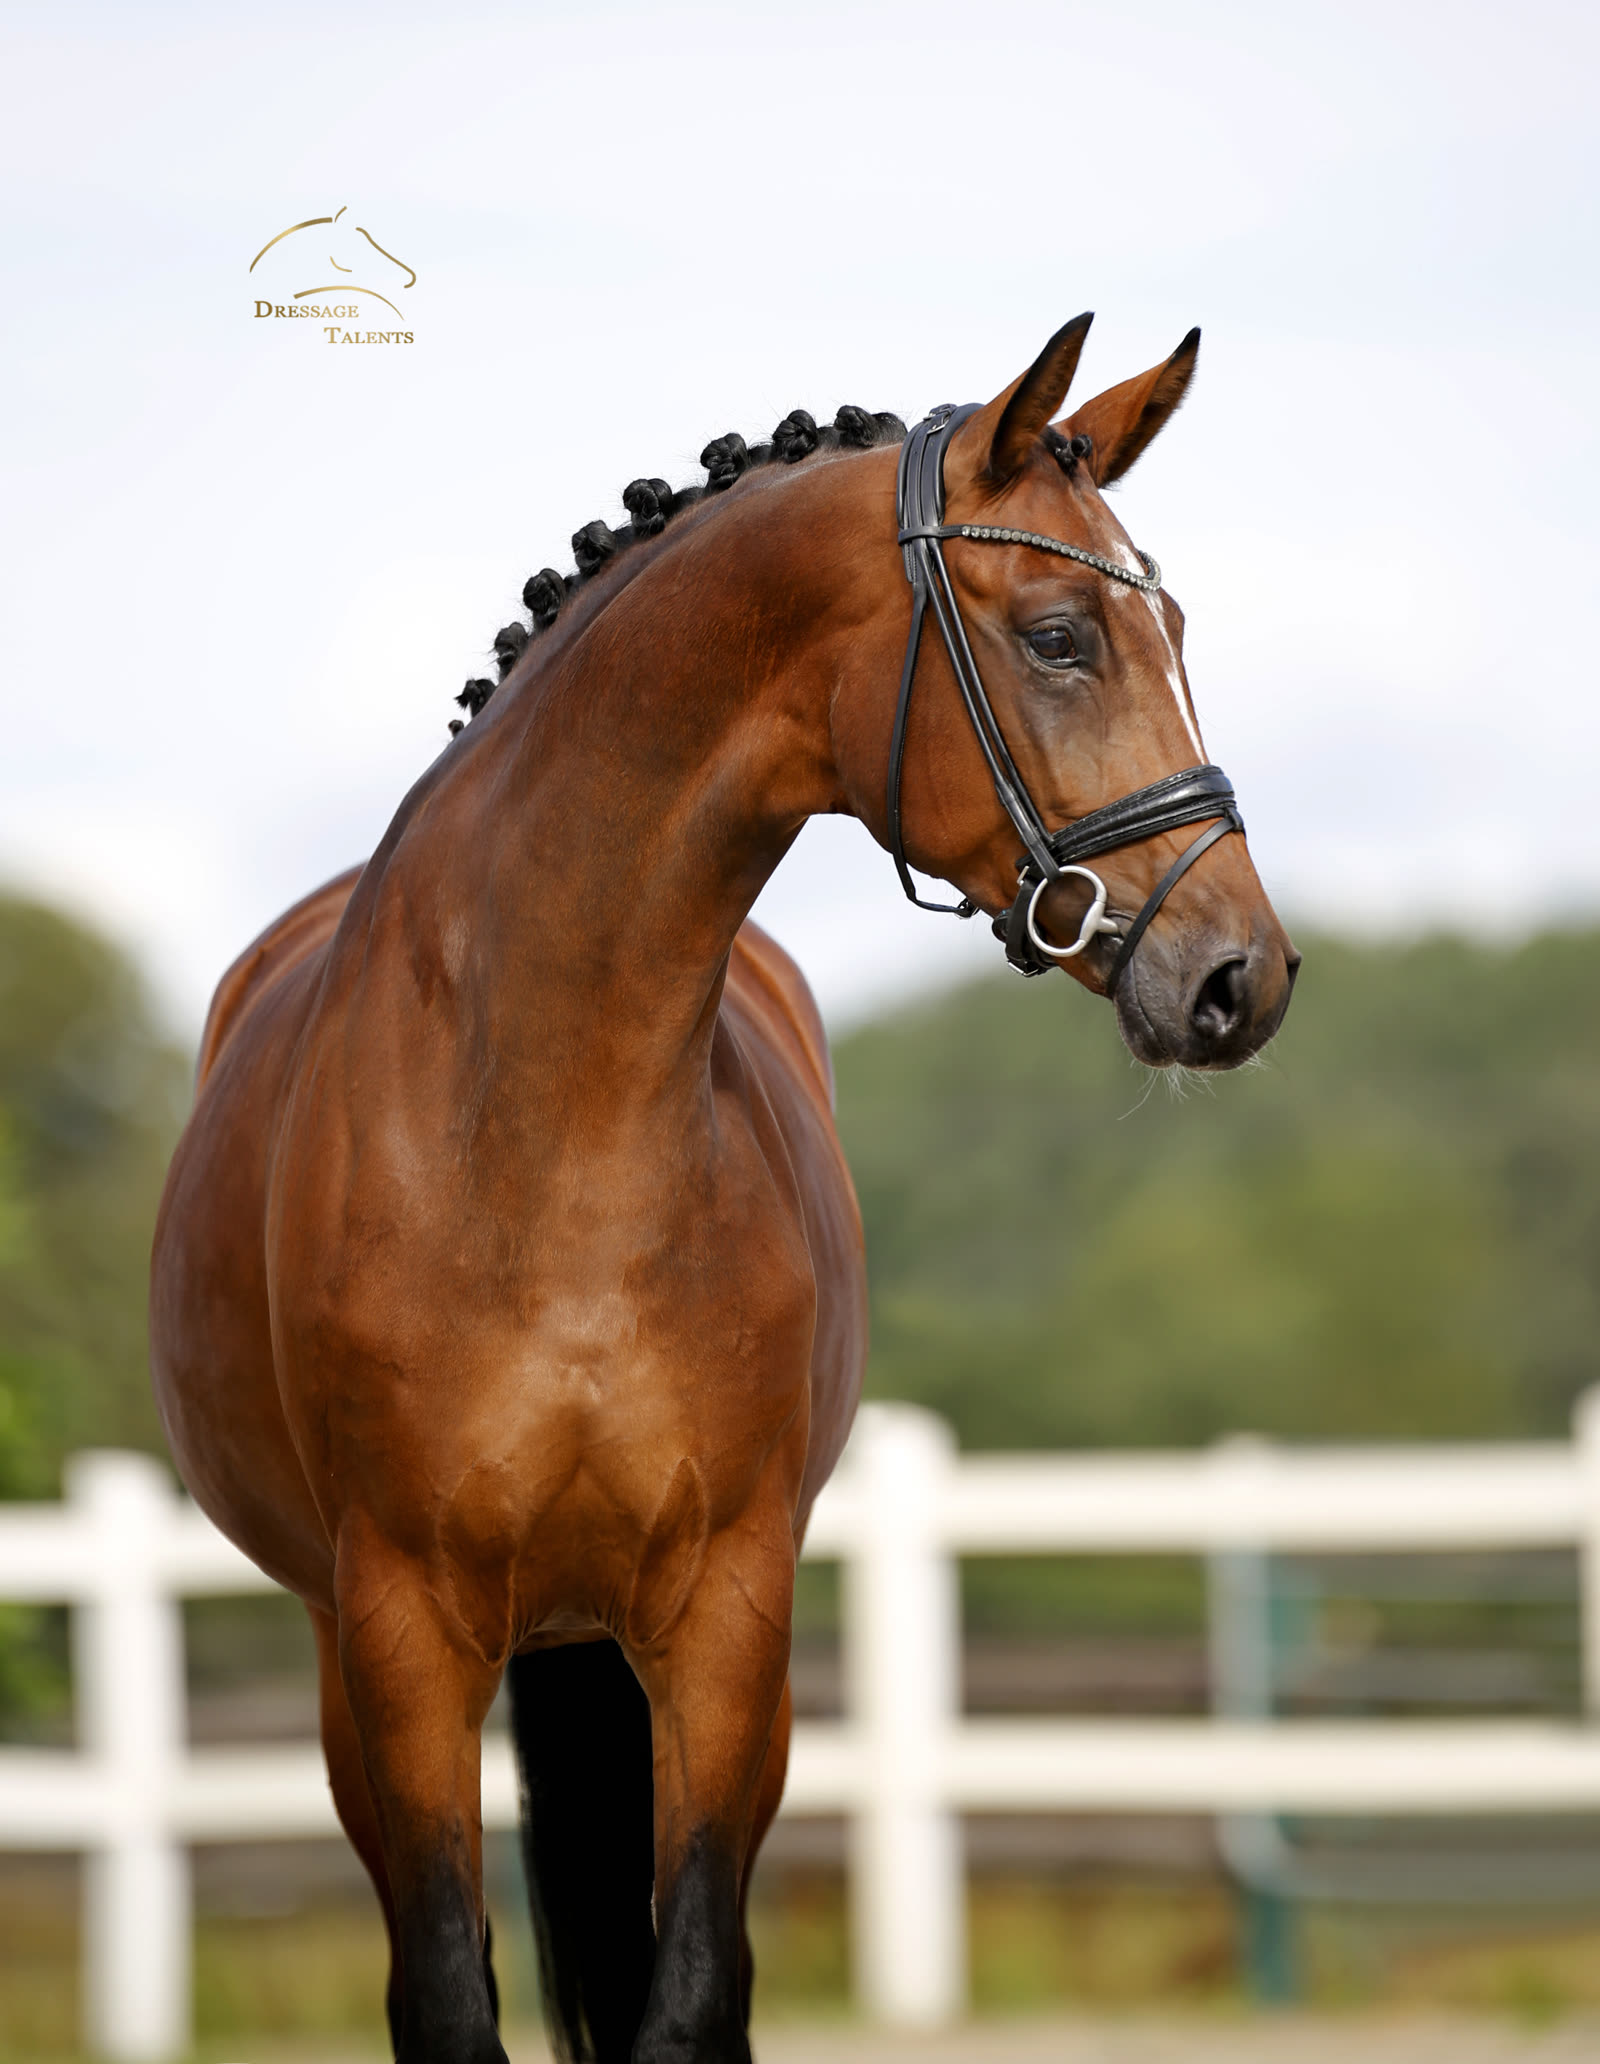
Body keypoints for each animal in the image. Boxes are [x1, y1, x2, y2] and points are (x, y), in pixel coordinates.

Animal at [150, 315, 1298, 2064]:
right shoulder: (401, 1636)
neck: (550, 1141)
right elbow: (450, 1998)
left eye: (1167, 626)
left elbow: (689, 1997)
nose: (1240, 977)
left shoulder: (725, 1624)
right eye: (1058, 636)